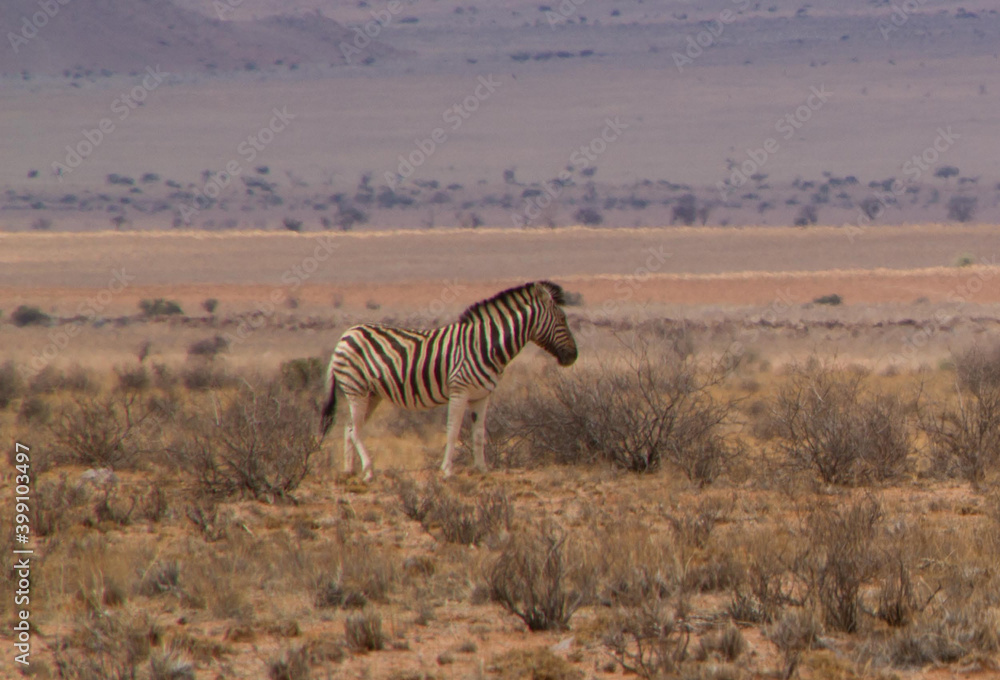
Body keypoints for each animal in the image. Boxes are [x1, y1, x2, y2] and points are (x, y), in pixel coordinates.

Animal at [320, 281, 578, 480]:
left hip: (372, 394)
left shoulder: (482, 395)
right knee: (355, 430)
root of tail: (345, 334)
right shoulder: (459, 390)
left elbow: (479, 433)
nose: (574, 356)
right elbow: (453, 431)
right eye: (562, 319)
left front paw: (482, 469)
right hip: (356, 388)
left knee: (350, 427)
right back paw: (369, 469)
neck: (486, 345)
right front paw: (447, 471)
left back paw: (350, 471)